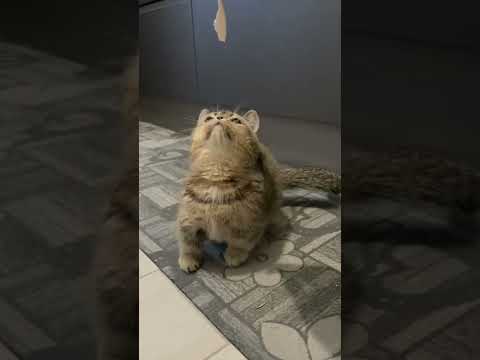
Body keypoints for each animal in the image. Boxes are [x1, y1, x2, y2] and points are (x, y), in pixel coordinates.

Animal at [177, 109, 342, 272]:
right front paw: (188, 258)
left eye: (236, 120)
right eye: (209, 118)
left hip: (273, 210)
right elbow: (188, 242)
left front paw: (234, 255)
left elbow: (241, 242)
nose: (219, 117)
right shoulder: (187, 220)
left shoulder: (251, 223)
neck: (217, 175)